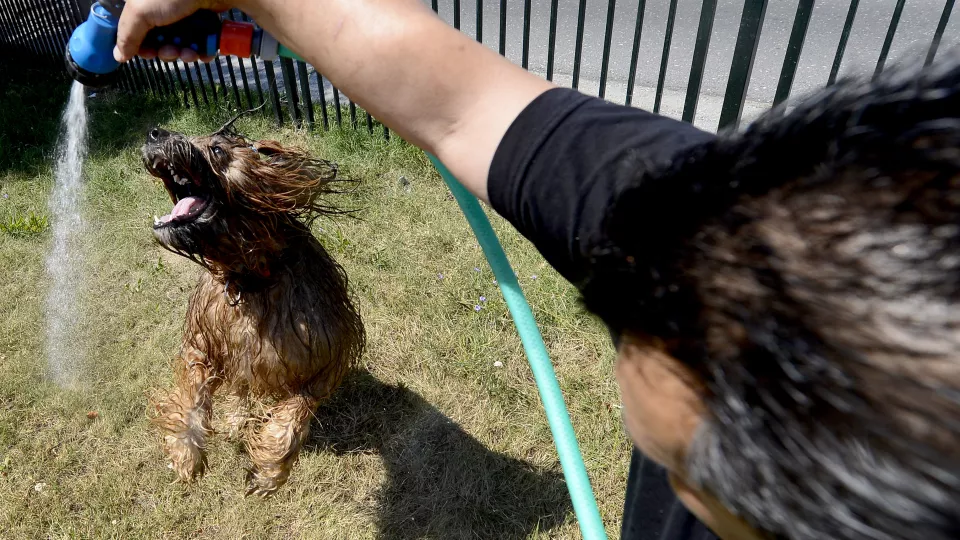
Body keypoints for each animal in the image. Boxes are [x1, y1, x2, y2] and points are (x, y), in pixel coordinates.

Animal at [141, 115, 366, 498]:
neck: (251, 280)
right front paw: (187, 452)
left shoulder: (324, 361)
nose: (155, 132)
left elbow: (293, 417)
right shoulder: (203, 342)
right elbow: (192, 394)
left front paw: (269, 470)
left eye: (217, 150)